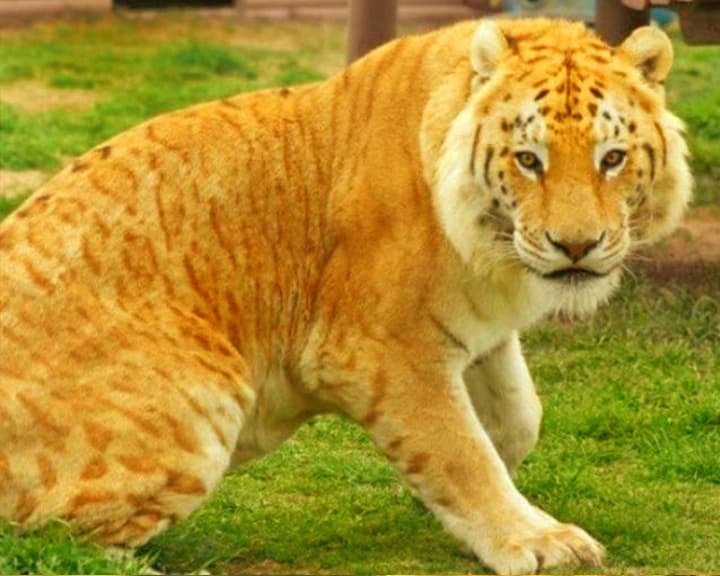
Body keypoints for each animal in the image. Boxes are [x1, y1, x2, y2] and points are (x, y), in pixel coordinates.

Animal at [0, 16, 692, 572]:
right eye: (528, 159)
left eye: (612, 158)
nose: (576, 247)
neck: (492, 255)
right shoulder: (378, 350)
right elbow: (462, 450)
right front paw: (537, 542)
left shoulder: (480, 333)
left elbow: (516, 418)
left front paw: (439, 505)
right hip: (202, 403)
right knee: (49, 543)